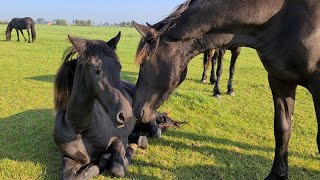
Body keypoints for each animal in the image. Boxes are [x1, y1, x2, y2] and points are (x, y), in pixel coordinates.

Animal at [53, 32, 176, 179]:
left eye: (119, 67)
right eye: (96, 70)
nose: (126, 115)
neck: (81, 128)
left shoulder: (118, 140)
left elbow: (117, 168)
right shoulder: (68, 158)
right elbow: (70, 176)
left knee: (154, 128)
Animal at [131, 0, 320, 179]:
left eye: (144, 63)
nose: (136, 110)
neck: (282, 19)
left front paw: (224, 89)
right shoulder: (280, 80)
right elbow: (282, 128)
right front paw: (277, 175)